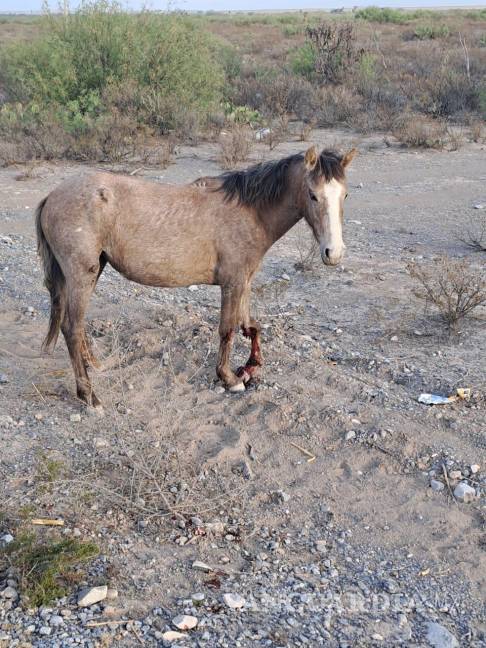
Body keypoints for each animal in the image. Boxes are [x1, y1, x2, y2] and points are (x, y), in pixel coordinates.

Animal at [33, 147, 354, 410]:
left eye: (345, 195)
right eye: (313, 194)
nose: (333, 252)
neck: (250, 213)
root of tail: (52, 196)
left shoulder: (244, 281)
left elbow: (250, 326)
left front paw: (251, 366)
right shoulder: (232, 283)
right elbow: (227, 330)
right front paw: (229, 378)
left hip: (92, 271)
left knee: (78, 326)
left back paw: (95, 366)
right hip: (81, 274)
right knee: (71, 328)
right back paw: (89, 395)